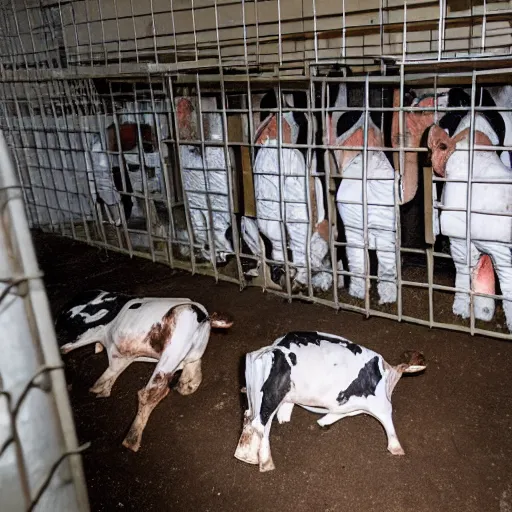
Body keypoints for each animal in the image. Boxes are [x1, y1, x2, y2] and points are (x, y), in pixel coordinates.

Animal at [234, 332, 426, 472]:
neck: (384, 376)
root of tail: (273, 348)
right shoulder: (381, 404)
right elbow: (388, 422)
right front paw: (397, 448)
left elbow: (336, 413)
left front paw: (321, 422)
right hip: (271, 396)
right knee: (261, 425)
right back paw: (266, 463)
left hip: (256, 395)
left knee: (250, 418)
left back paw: (246, 455)